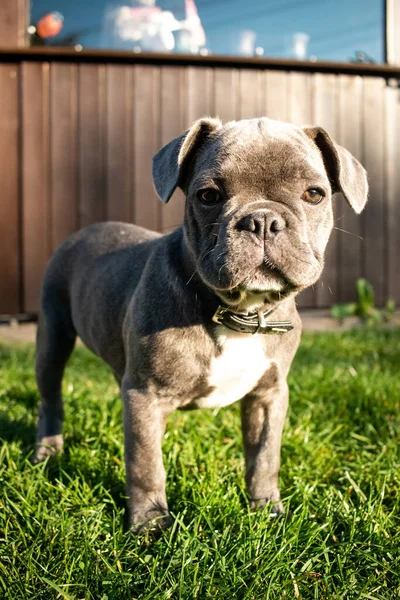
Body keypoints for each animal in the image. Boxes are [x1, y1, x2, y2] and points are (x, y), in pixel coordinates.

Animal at [35, 118, 368, 536]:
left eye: (314, 194)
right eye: (208, 195)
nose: (262, 220)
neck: (239, 312)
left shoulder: (269, 394)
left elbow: (265, 455)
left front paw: (267, 510)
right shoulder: (145, 395)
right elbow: (146, 463)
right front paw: (150, 523)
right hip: (53, 336)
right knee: (51, 397)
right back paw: (48, 450)